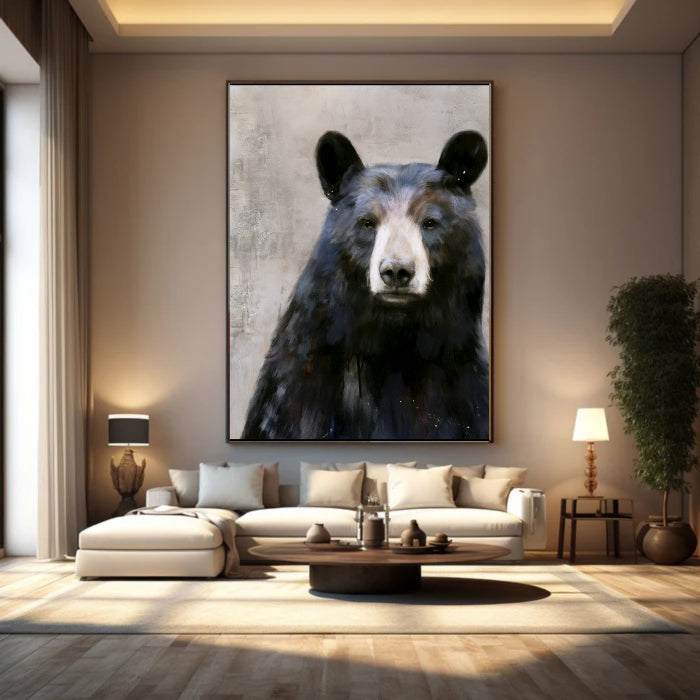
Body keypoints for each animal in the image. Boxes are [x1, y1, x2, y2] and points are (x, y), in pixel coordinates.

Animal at [242, 130, 489, 440]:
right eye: (367, 222)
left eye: (431, 223)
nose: (396, 271)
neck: (394, 339)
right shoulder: (299, 387)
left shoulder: (461, 380)